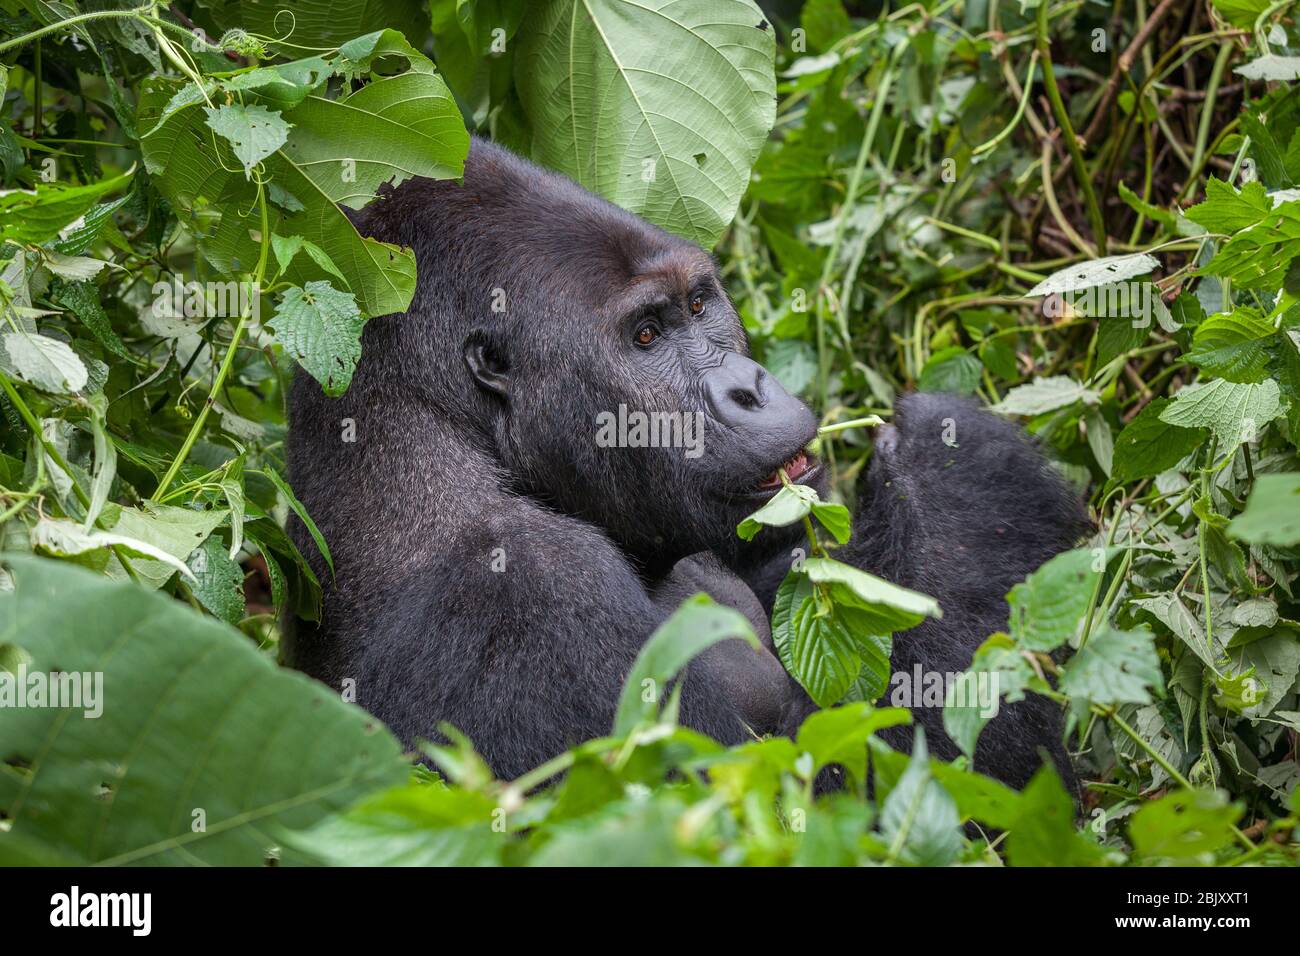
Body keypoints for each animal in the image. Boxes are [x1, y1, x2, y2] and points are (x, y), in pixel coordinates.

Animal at [287, 136, 1086, 790]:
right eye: (646, 335)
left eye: (700, 305)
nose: (750, 387)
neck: (425, 434)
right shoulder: (524, 589)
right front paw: (954, 465)